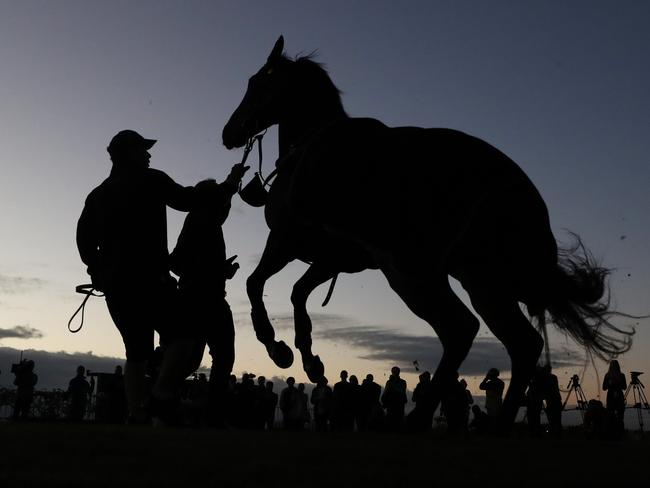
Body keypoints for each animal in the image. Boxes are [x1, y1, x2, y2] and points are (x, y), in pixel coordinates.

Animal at [220, 37, 632, 428]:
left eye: (256, 83)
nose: (229, 132)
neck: (310, 153)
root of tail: (520, 194)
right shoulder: (331, 258)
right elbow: (295, 293)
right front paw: (307, 358)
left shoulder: (288, 242)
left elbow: (258, 285)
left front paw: (278, 348)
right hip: (485, 283)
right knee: (522, 343)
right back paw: (495, 422)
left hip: (414, 274)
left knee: (461, 329)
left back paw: (420, 417)